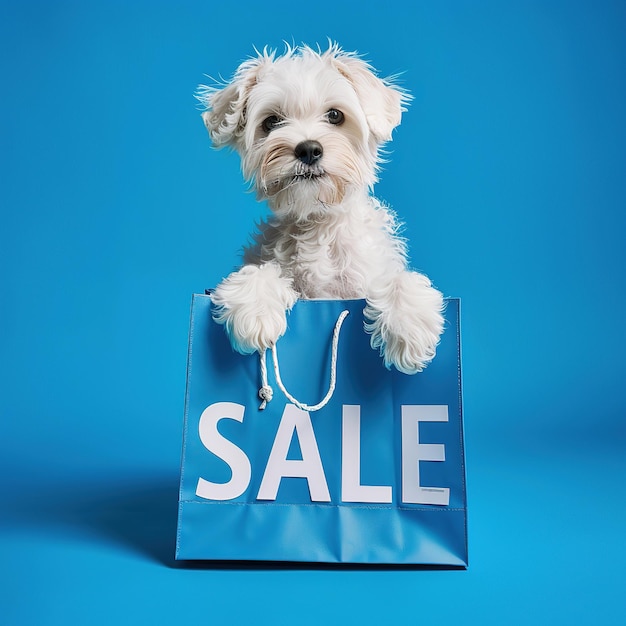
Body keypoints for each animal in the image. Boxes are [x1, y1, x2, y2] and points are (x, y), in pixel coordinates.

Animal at [197, 45, 442, 376]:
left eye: (335, 115)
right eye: (271, 121)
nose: (309, 149)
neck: (318, 224)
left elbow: (397, 279)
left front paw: (409, 327)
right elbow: (258, 272)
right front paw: (256, 309)